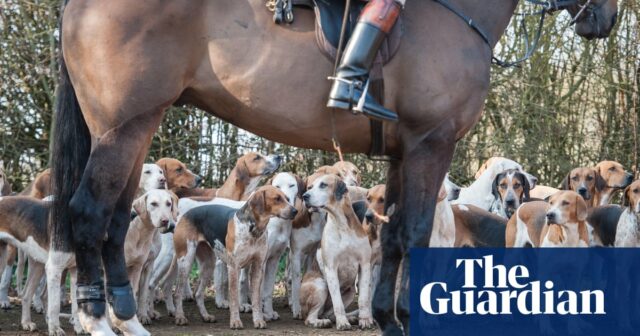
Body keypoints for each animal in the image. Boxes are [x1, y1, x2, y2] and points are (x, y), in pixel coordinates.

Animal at [52, 0, 616, 334]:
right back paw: (95, 316)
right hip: (125, 126)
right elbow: (412, 234)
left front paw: (386, 313)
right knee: (89, 212)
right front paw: (396, 319)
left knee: (115, 217)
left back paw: (124, 315)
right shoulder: (431, 143)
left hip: (130, 131)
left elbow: (391, 237)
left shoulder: (403, 153)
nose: (605, 19)